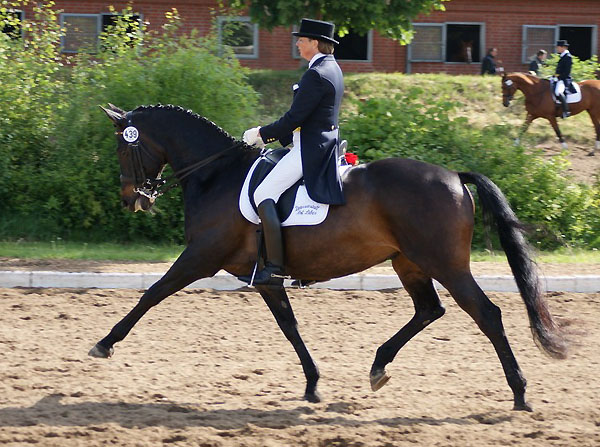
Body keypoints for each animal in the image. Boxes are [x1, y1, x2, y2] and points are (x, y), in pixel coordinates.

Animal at [90, 103, 568, 412]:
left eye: (123, 146)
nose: (132, 199)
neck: (216, 174)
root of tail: (453, 175)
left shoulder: (200, 258)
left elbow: (152, 293)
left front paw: (104, 343)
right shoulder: (264, 277)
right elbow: (289, 326)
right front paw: (313, 384)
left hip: (445, 264)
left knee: (486, 314)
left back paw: (520, 393)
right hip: (409, 262)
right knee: (429, 310)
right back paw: (378, 366)